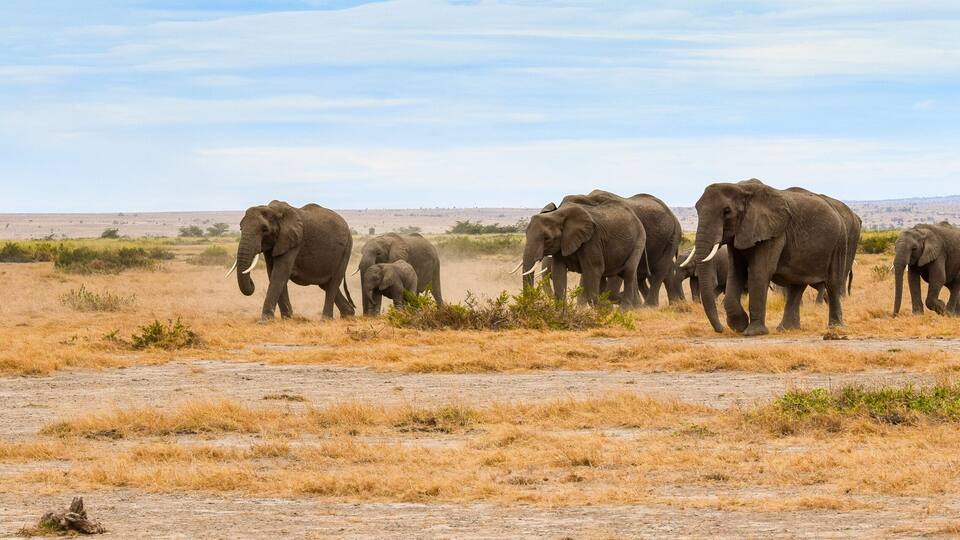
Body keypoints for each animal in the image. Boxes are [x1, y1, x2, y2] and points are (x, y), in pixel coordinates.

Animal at [684, 179, 861, 335]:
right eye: (697, 209)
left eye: (726, 211)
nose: (720, 329)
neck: (742, 188)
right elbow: (736, 272)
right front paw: (739, 325)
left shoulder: (773, 233)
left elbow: (760, 272)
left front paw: (752, 332)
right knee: (796, 285)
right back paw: (786, 329)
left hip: (839, 242)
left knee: (833, 283)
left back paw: (835, 327)